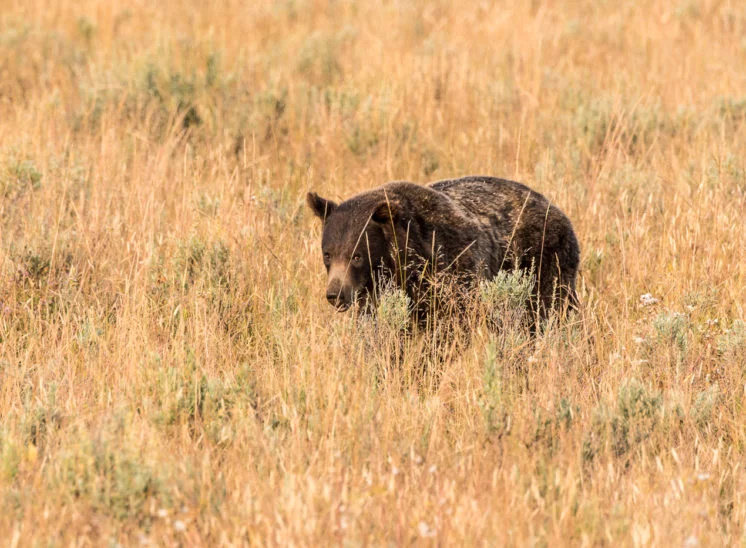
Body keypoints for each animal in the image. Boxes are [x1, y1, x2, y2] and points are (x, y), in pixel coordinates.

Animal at [306, 175, 580, 323]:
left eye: (357, 255)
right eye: (327, 254)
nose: (335, 293)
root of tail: (555, 207)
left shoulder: (450, 268)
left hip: (544, 261)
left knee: (550, 306)